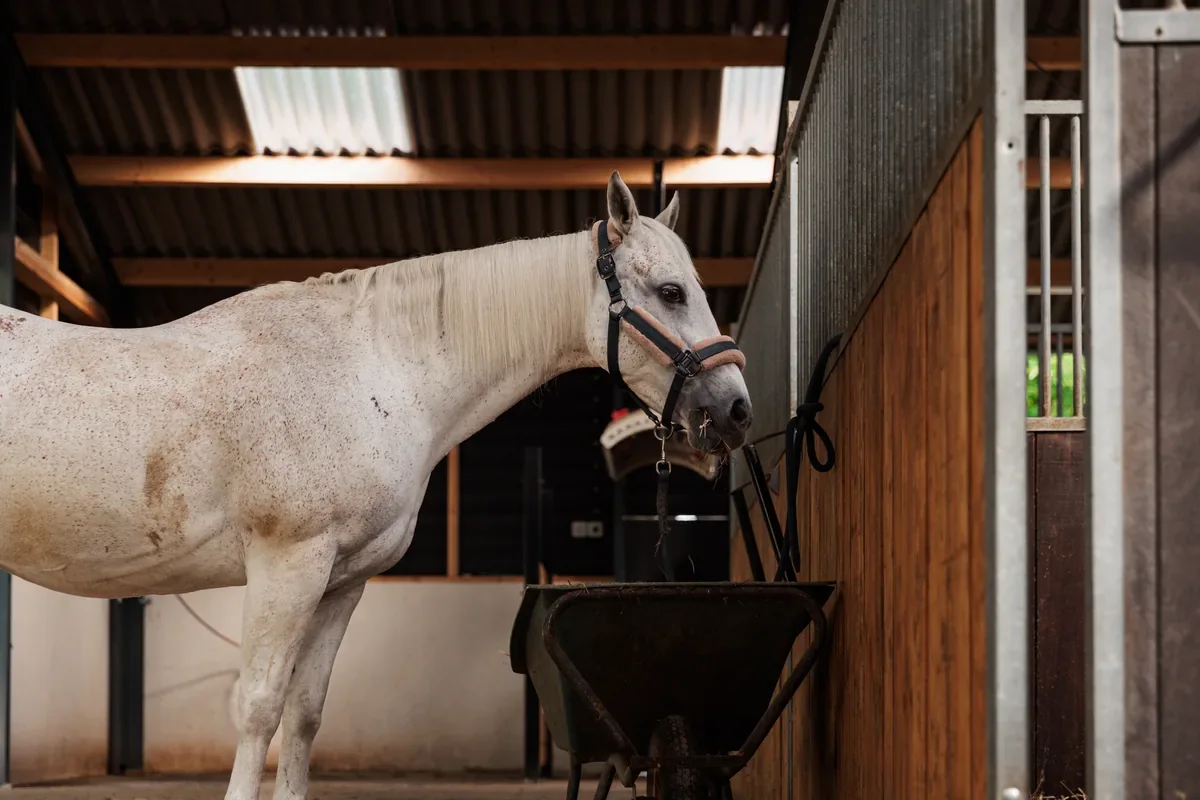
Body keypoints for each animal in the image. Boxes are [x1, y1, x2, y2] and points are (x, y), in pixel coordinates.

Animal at [0, 170, 752, 800]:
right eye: (671, 292)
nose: (736, 410)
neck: (370, 369)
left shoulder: (342, 581)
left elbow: (303, 715)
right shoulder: (286, 565)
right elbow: (259, 707)